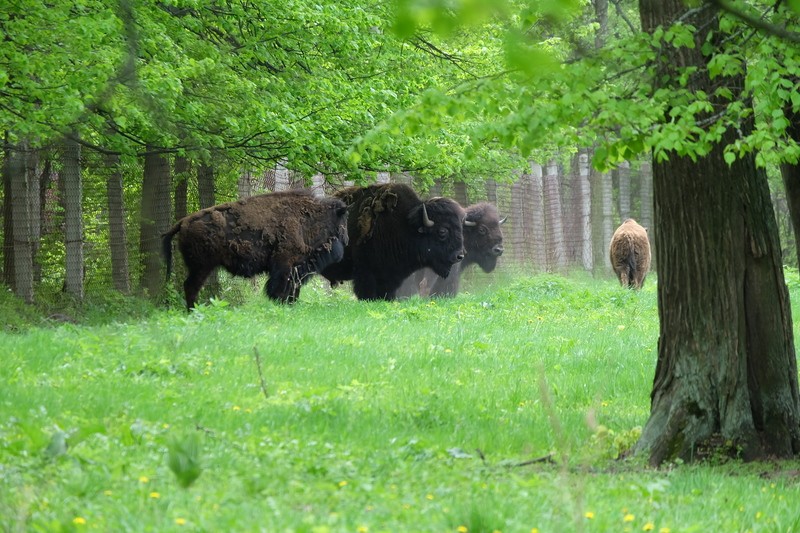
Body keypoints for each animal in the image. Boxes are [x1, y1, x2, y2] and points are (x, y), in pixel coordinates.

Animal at [162, 190, 346, 308]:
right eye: (339, 225)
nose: (346, 242)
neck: (310, 220)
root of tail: (183, 222)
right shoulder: (284, 265)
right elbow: (280, 288)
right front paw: (281, 304)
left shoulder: (296, 269)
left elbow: (293, 288)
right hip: (201, 267)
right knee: (191, 286)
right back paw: (192, 311)